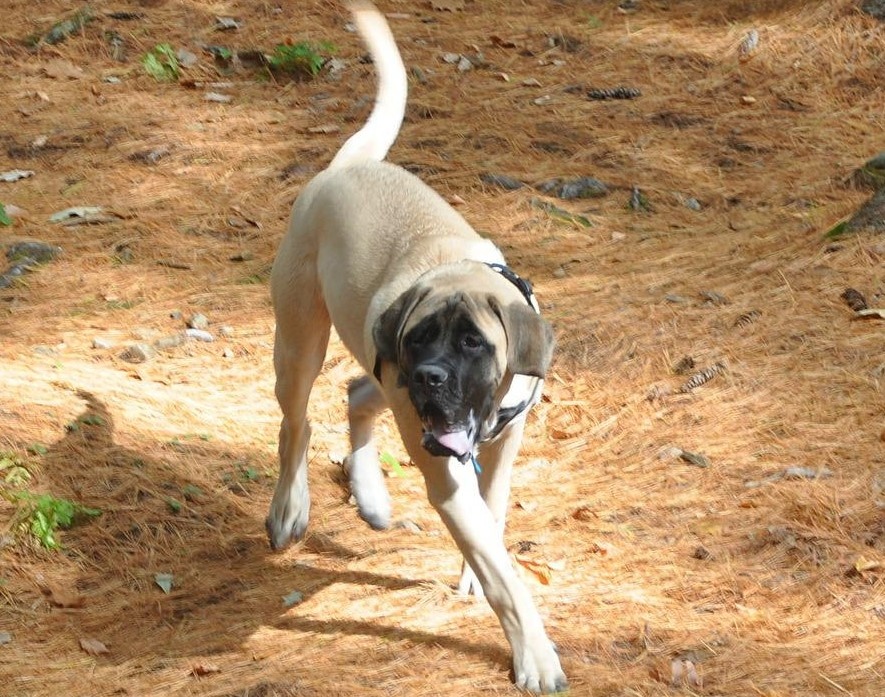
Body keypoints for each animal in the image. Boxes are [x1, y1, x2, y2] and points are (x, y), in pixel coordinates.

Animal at [265, 2, 567, 692]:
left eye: (473, 343)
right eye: (420, 336)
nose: (429, 375)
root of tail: (344, 167)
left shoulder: (502, 442)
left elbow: (495, 522)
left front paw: (473, 574)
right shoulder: (445, 468)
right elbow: (506, 576)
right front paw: (534, 654)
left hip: (382, 379)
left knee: (357, 394)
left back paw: (372, 495)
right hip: (302, 343)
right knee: (296, 424)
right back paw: (290, 509)